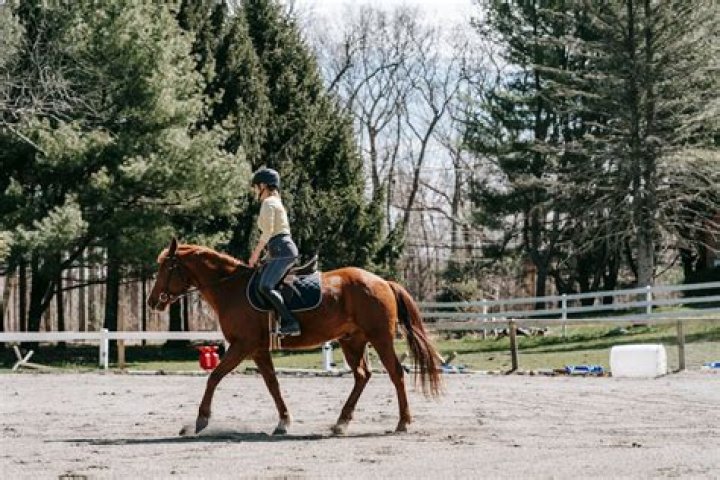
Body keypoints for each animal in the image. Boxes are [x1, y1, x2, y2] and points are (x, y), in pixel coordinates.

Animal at [146, 238, 443, 436]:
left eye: (167, 268)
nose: (151, 301)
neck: (230, 289)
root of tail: (382, 281)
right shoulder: (257, 350)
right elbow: (272, 384)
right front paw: (283, 421)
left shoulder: (242, 346)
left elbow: (214, 376)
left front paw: (201, 420)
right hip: (352, 340)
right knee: (362, 376)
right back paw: (341, 422)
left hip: (379, 338)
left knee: (395, 373)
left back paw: (402, 422)